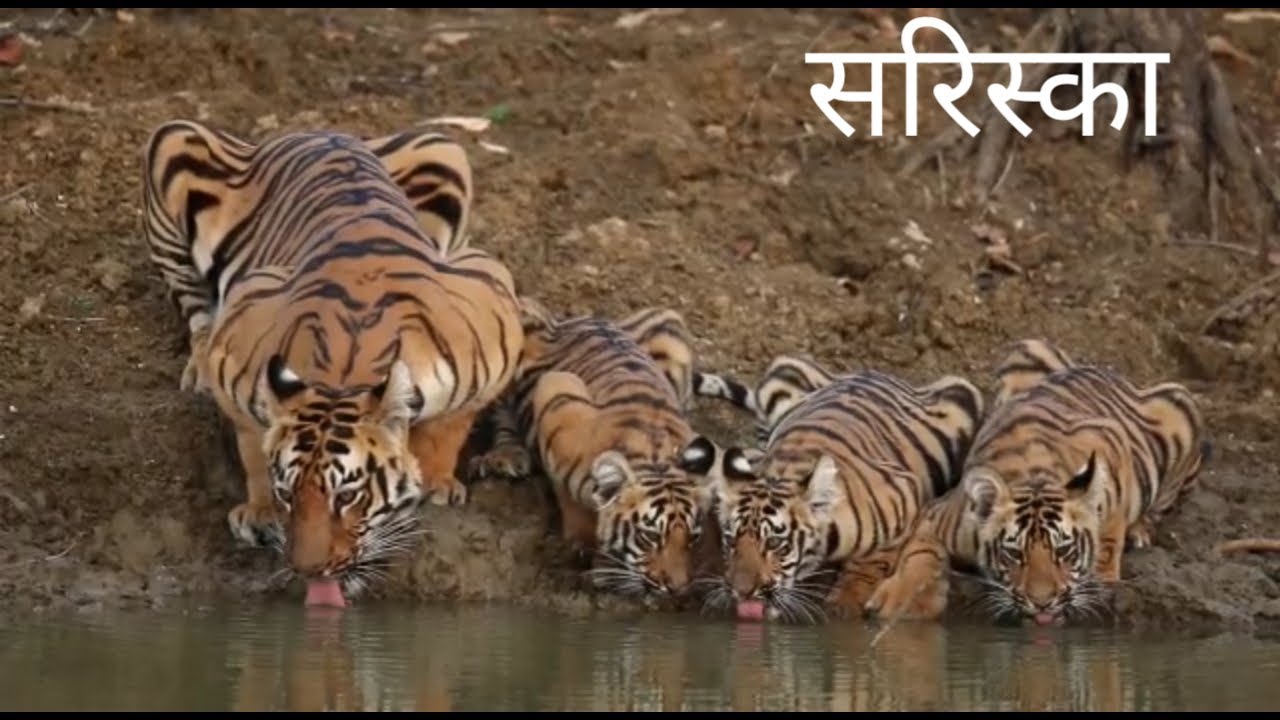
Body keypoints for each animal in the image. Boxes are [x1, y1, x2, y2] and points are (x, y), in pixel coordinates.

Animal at [141, 119, 525, 603]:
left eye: (347, 497)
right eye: (288, 494)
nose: (309, 569)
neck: (345, 371)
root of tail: (317, 131)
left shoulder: (494, 307)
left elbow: (450, 425)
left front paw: (437, 481)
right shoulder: (241, 330)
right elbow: (252, 443)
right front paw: (260, 511)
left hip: (445, 149)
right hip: (173, 140)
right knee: (195, 311)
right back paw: (198, 371)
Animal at [470, 298, 721, 599]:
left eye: (692, 538)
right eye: (650, 537)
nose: (677, 588)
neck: (655, 457)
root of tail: (575, 318)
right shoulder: (556, 391)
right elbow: (566, 493)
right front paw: (584, 543)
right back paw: (506, 456)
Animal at [690, 354, 986, 623]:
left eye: (774, 543)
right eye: (731, 540)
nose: (741, 592)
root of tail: (873, 371)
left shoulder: (907, 498)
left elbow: (873, 561)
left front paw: (846, 603)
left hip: (962, 394)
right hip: (781, 371)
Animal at [863, 339, 1211, 627]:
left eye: (1064, 550)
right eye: (1014, 553)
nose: (1042, 603)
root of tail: (1104, 370)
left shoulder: (1111, 445)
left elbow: (1109, 539)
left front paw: (1101, 579)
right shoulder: (938, 514)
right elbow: (918, 557)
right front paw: (897, 602)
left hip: (1181, 404)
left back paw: (1139, 531)